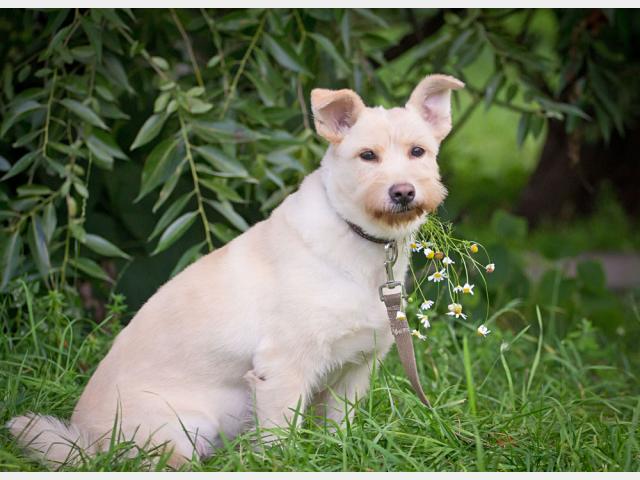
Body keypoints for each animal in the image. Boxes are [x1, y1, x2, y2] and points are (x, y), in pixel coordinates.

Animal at [7, 73, 462, 466]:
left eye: (418, 152)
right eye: (368, 156)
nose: (403, 192)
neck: (358, 241)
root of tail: (87, 446)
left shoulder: (353, 371)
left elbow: (339, 430)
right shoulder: (282, 370)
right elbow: (280, 441)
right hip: (181, 431)